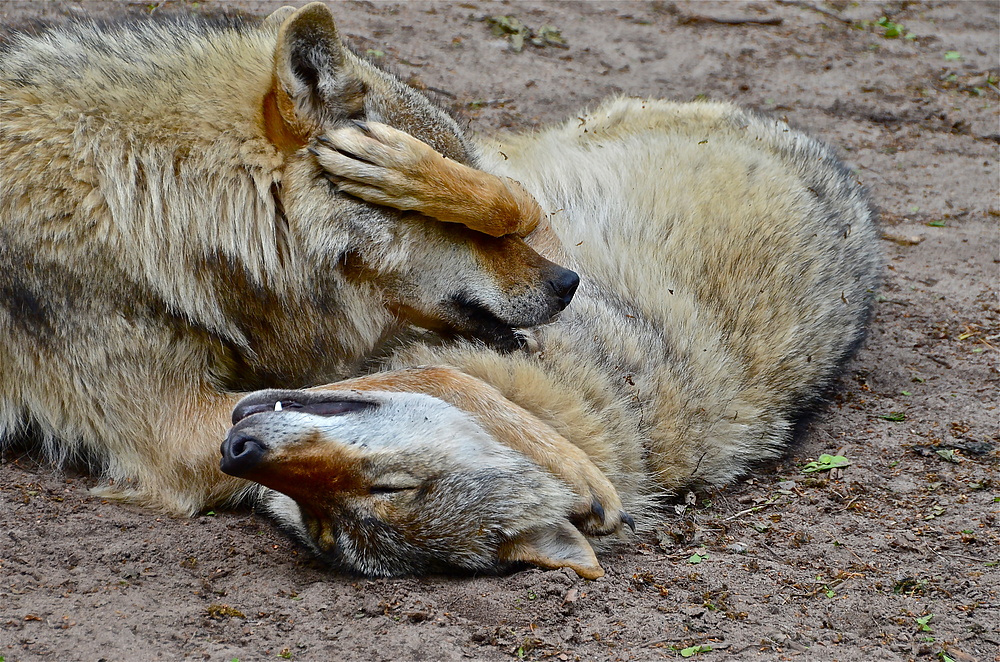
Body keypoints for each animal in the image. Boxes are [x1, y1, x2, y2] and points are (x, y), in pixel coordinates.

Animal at [221, 96, 884, 580]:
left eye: (381, 494)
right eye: (315, 523)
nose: (237, 451)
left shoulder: (557, 276)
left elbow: (510, 214)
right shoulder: (556, 267)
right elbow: (510, 203)